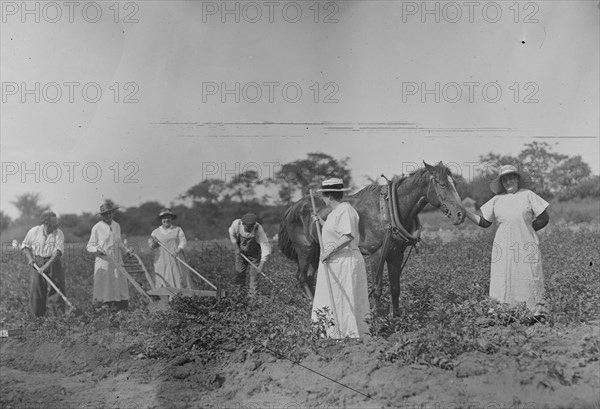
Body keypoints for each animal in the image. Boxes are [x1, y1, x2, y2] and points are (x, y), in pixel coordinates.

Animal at [278, 161, 466, 314]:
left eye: (454, 183)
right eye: (442, 184)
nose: (461, 214)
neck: (389, 211)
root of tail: (291, 208)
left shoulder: (396, 254)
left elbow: (395, 288)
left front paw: (396, 319)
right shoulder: (377, 254)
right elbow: (377, 288)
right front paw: (377, 319)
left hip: (318, 250)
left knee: (310, 277)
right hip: (305, 249)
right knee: (302, 277)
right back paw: (313, 308)